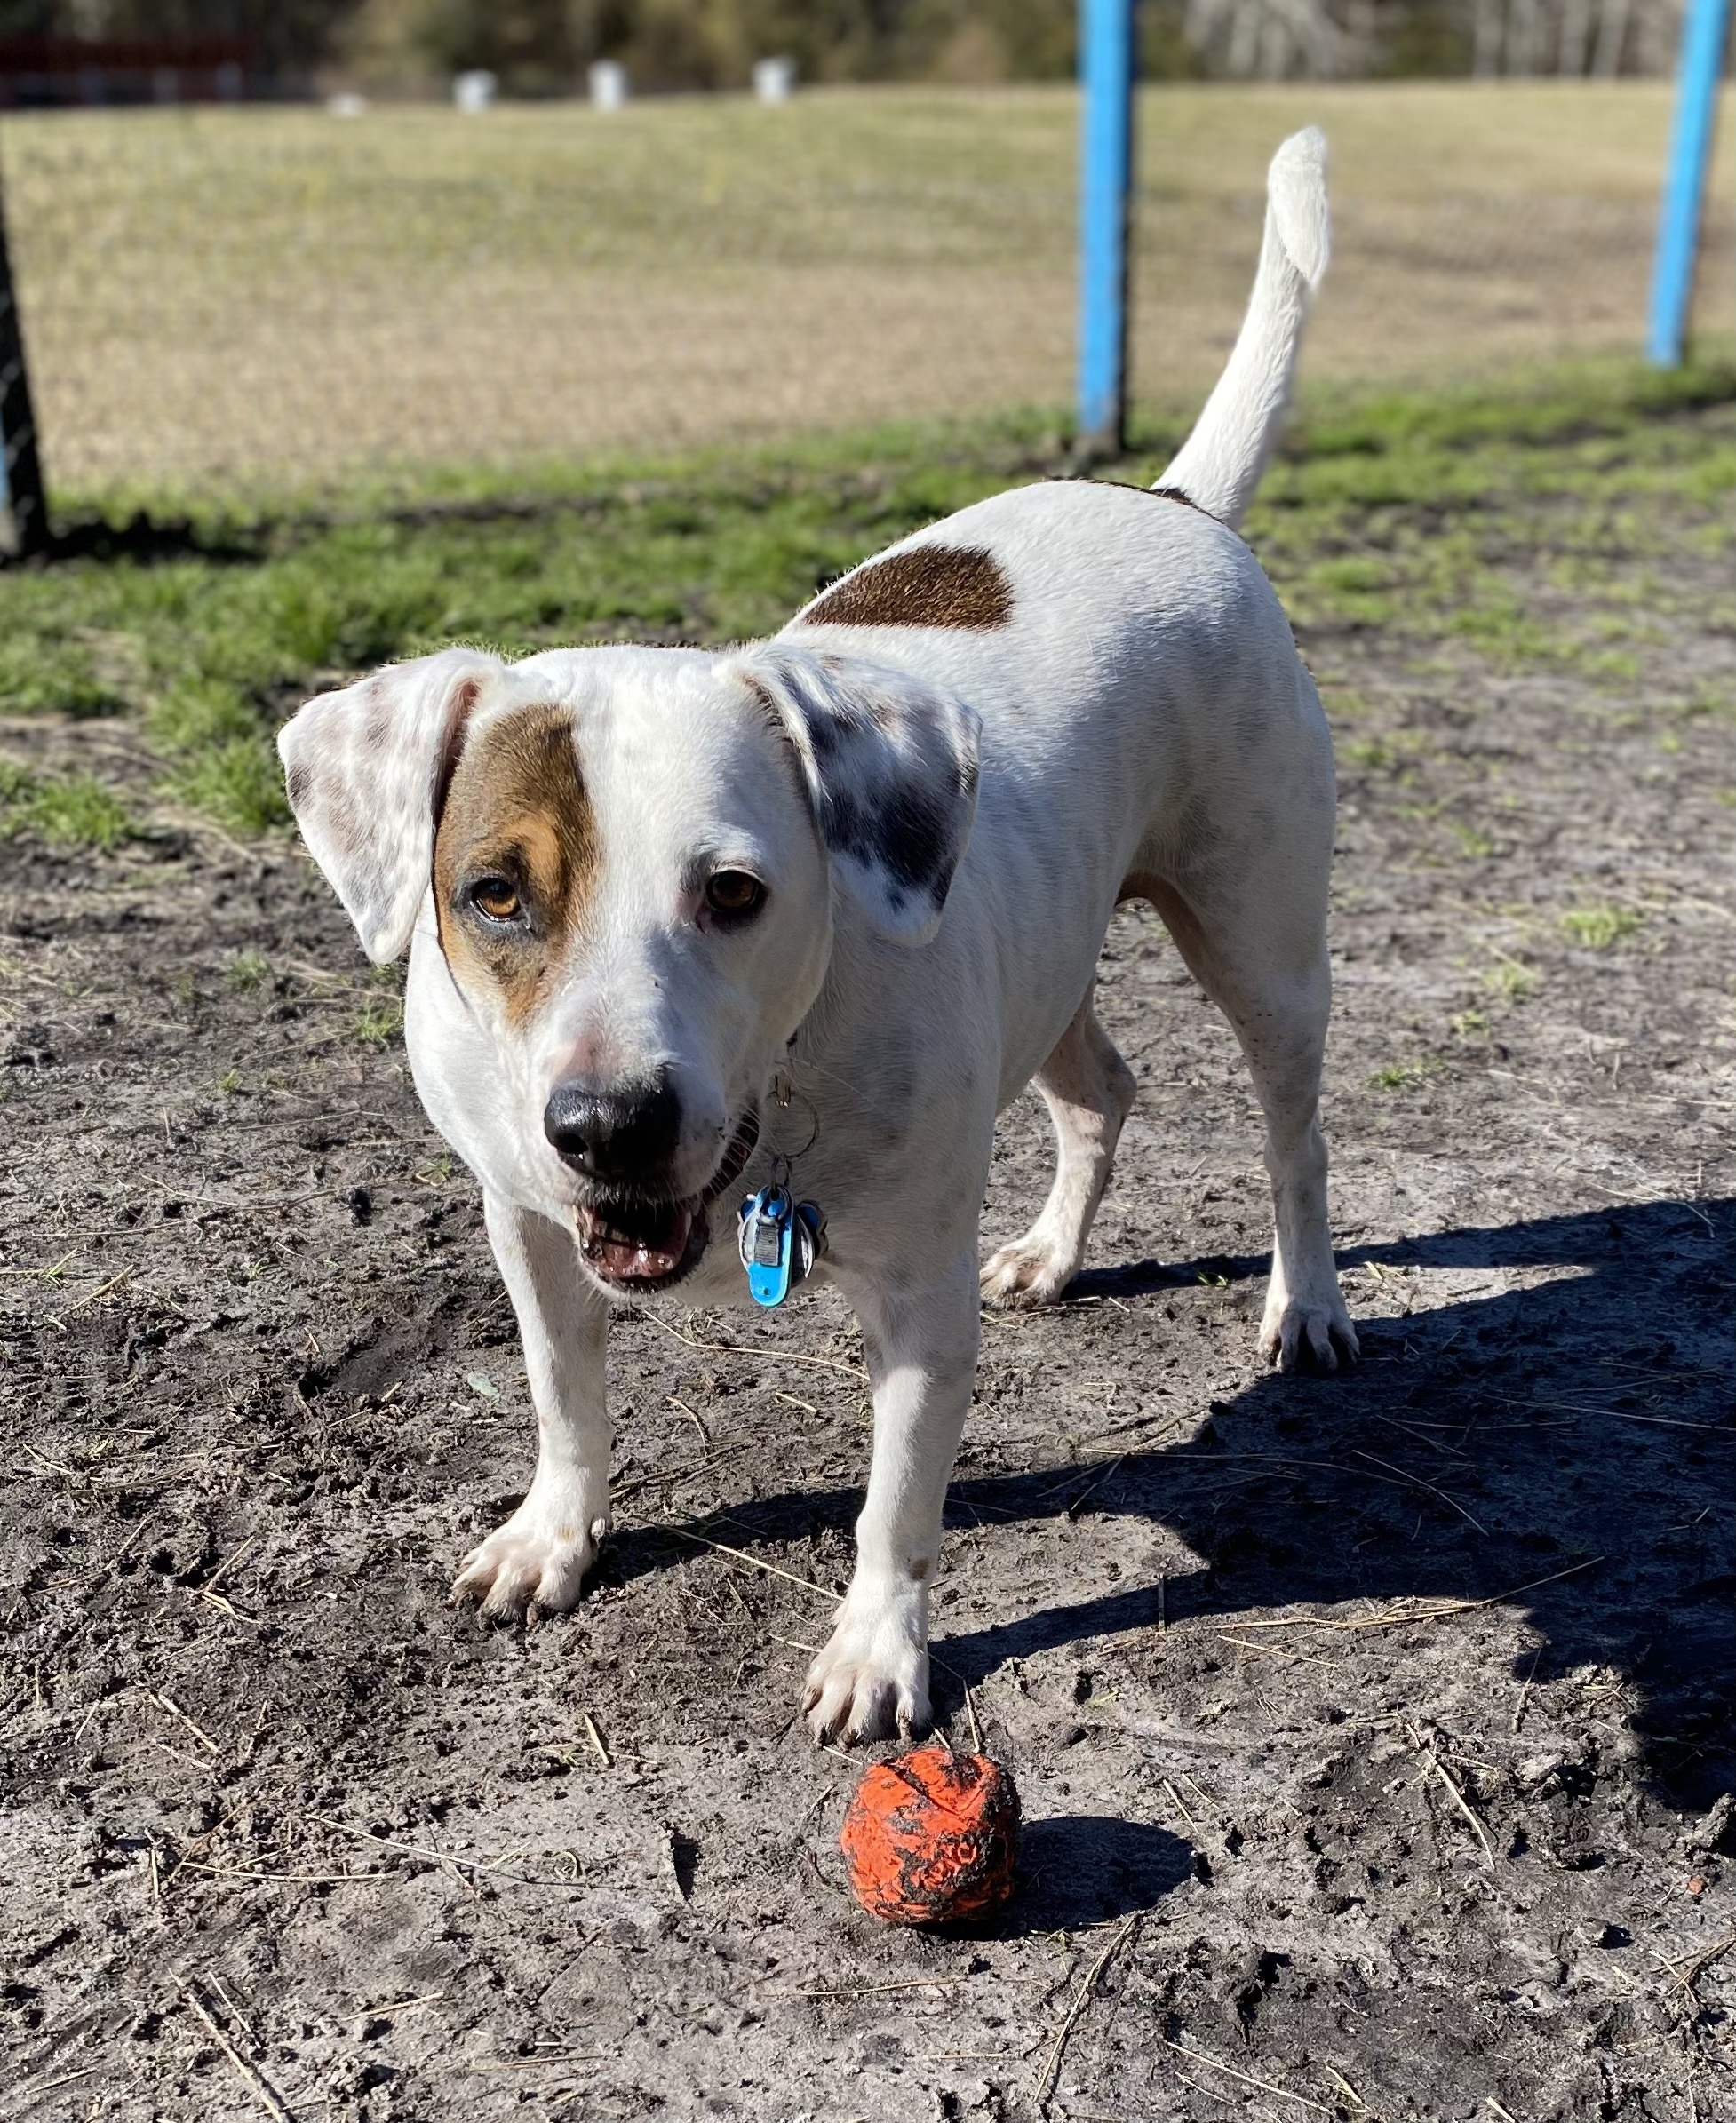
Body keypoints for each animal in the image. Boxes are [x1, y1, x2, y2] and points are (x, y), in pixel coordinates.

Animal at [277, 128, 1350, 1740]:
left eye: (733, 892)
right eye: (494, 894)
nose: (608, 1124)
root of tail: (1169, 501)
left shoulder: (913, 1301)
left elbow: (895, 1501)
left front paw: (874, 1647)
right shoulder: (527, 1227)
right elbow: (563, 1396)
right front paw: (553, 1535)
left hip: (1261, 945)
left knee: (1293, 1138)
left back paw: (1307, 1303)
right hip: (1044, 966)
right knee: (1100, 1090)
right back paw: (1052, 1253)